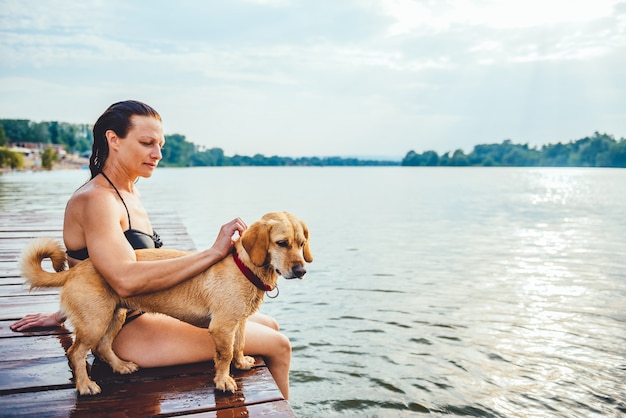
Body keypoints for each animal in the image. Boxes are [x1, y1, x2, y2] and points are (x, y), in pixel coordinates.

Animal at [19, 212, 312, 396]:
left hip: (114, 315)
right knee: (76, 353)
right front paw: (223, 381)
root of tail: (75, 271)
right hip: (95, 322)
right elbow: (223, 356)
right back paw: (85, 386)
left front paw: (240, 363)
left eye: (301, 243)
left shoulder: (239, 322)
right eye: (281, 243)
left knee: (102, 347)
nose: (301, 271)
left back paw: (121, 366)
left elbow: (238, 346)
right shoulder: (222, 328)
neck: (245, 268)